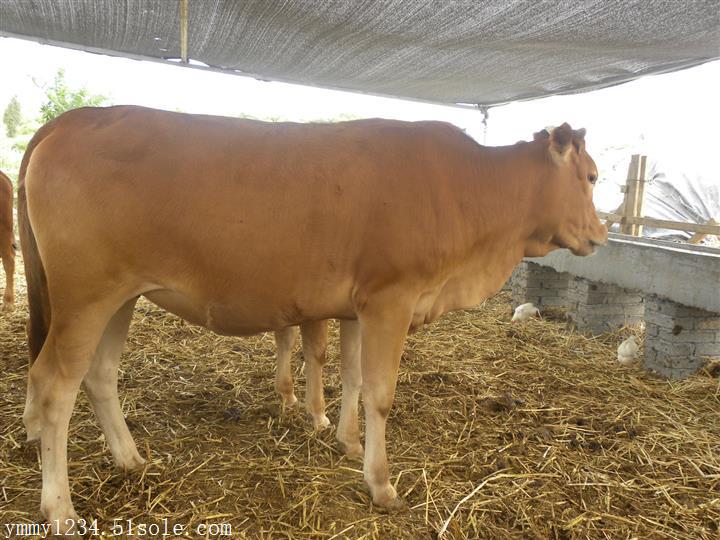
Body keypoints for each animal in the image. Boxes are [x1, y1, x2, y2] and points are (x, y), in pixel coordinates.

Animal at [18, 105, 608, 528]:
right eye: (593, 176)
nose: (602, 235)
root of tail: (75, 117)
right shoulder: (392, 298)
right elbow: (381, 393)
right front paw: (381, 484)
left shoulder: (358, 306)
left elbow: (351, 376)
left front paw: (345, 441)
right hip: (85, 296)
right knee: (53, 387)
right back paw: (60, 509)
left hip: (120, 297)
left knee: (98, 376)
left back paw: (131, 459)